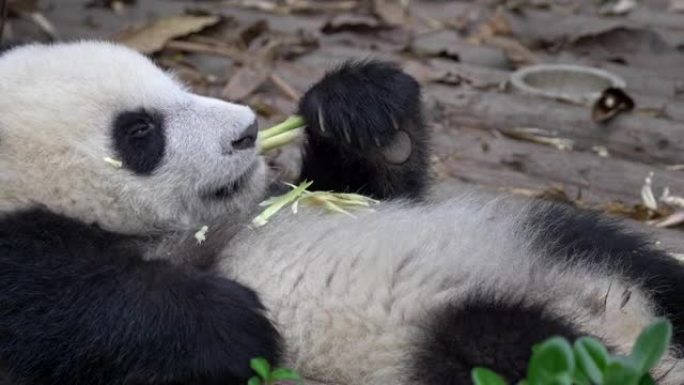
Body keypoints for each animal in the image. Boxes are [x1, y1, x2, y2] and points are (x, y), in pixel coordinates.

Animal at [1, 41, 684, 384]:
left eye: (177, 84)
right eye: (140, 132)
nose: (247, 132)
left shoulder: (284, 198)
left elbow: (358, 188)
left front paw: (364, 108)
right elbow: (64, 310)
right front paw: (229, 318)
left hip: (561, 237)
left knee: (641, 266)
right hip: (446, 340)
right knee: (518, 348)